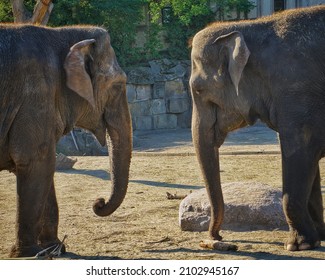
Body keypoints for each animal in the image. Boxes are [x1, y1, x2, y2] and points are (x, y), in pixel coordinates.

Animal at [0, 24, 132, 258]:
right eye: (118, 86)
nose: (98, 202)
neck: (60, 33)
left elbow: (43, 167)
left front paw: (54, 249)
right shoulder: (35, 96)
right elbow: (37, 162)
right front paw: (28, 253)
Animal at [189, 6, 324, 252]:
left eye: (199, 89)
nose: (216, 239)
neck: (251, 27)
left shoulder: (297, 91)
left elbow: (299, 153)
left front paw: (297, 245)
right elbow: (311, 165)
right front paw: (317, 238)